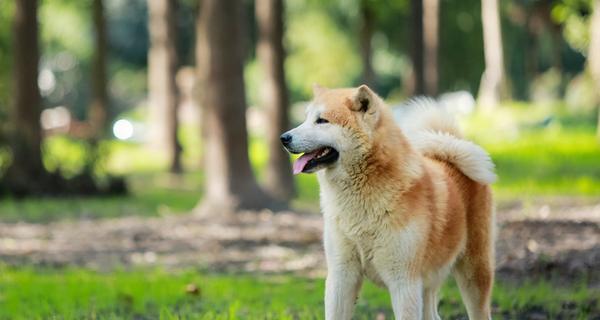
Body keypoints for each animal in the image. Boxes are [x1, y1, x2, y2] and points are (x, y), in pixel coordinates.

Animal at [278, 85, 494, 320]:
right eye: (306, 118)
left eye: (322, 120)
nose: (284, 138)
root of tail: (450, 151)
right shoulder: (341, 276)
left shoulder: (404, 282)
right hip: (428, 282)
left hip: (473, 273)